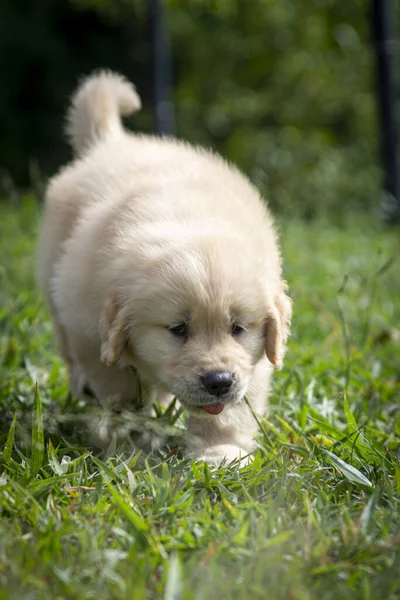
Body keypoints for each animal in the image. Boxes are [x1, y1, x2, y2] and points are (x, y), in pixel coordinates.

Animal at [39, 69, 292, 464]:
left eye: (238, 327)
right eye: (177, 329)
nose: (219, 382)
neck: (193, 222)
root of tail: (113, 142)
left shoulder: (253, 361)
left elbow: (232, 410)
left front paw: (219, 453)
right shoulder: (88, 325)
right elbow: (118, 384)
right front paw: (126, 435)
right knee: (68, 350)